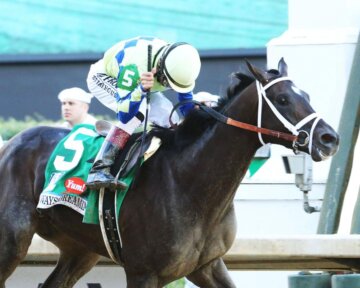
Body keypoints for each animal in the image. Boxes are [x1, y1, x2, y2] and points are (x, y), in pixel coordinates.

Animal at [0, 59, 338, 286]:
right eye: (282, 99)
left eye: (306, 95)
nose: (329, 138)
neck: (189, 184)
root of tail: (11, 143)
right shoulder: (143, 273)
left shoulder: (208, 265)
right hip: (12, 240)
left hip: (79, 249)